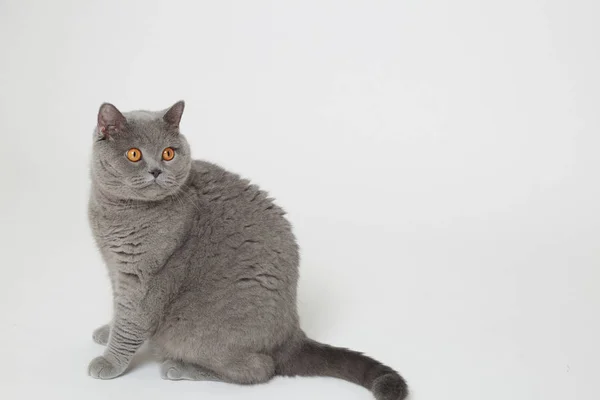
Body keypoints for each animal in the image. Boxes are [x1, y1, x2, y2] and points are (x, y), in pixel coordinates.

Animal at [88, 101, 408, 400]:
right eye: (134, 154)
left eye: (168, 153)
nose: (156, 170)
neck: (116, 212)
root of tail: (292, 333)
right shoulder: (115, 267)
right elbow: (119, 308)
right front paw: (106, 331)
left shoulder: (145, 278)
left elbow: (131, 321)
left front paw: (109, 362)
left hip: (197, 332)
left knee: (259, 369)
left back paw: (181, 367)